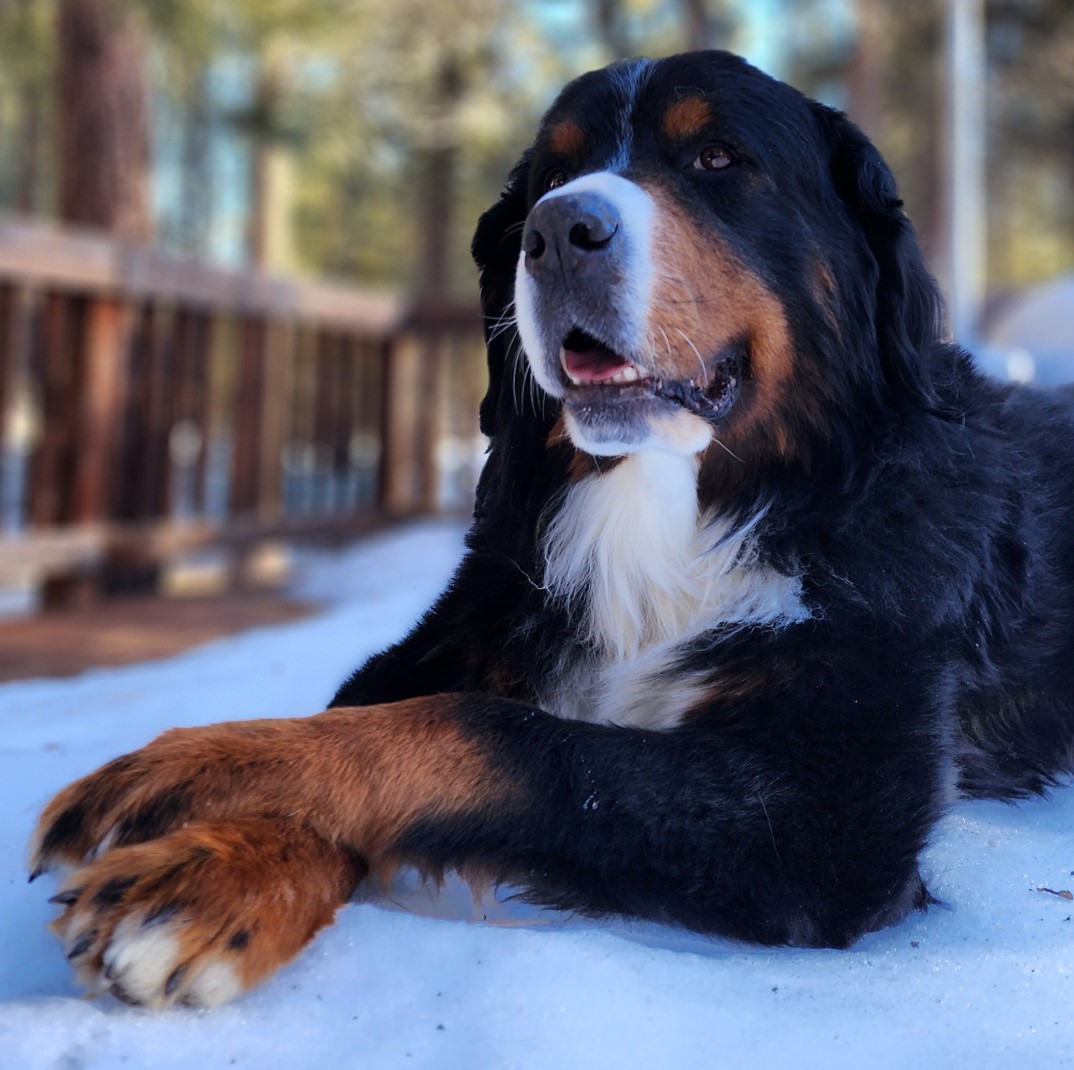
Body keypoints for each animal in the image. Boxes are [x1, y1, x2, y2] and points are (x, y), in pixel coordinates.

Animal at [30, 50, 1074, 1009]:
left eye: (718, 157)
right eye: (551, 174)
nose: (560, 232)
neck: (671, 510)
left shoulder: (833, 809)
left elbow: (487, 736)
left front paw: (191, 774)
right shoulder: (460, 629)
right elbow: (359, 722)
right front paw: (213, 868)